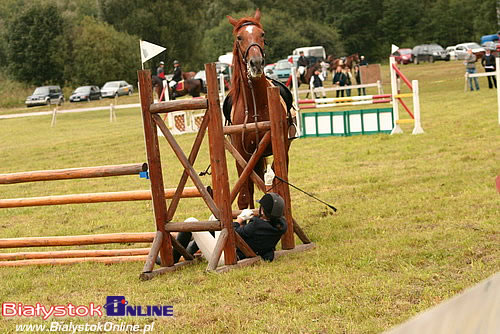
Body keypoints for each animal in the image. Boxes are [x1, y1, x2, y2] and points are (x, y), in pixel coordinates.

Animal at [227, 9, 292, 209]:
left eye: (262, 34)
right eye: (239, 37)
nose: (256, 63)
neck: (257, 105)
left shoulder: (280, 151)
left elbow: (277, 187)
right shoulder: (242, 158)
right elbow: (244, 196)